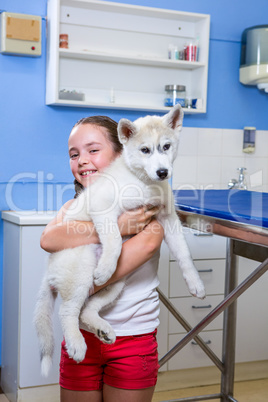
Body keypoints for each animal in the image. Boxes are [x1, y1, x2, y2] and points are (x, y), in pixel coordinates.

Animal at [33, 104, 205, 376]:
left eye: (166, 146)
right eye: (145, 150)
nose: (163, 172)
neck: (143, 183)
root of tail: (50, 271)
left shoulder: (168, 219)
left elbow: (184, 254)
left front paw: (195, 283)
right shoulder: (104, 209)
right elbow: (113, 240)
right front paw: (105, 266)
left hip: (118, 282)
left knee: (86, 309)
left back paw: (102, 329)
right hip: (82, 268)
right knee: (68, 311)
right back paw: (77, 344)